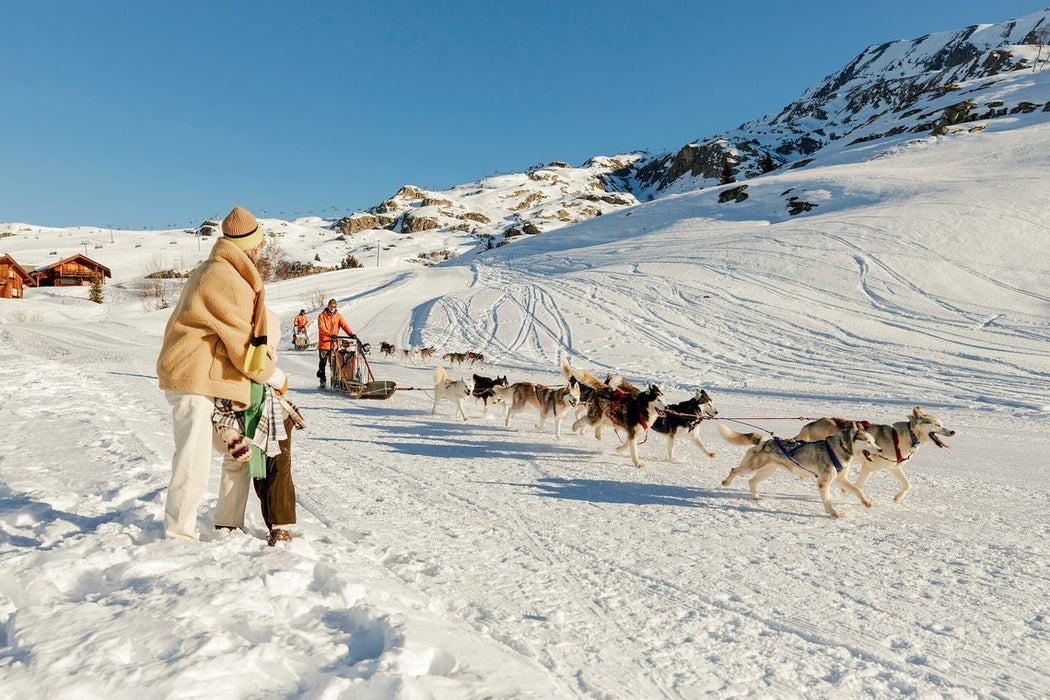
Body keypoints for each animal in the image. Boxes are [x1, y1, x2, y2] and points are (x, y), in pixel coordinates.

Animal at [718, 421, 881, 520]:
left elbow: (857, 490)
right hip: (752, 467)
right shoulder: (824, 483)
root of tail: (764, 441)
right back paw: (726, 482)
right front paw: (834, 513)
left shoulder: (840, 479)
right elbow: (828, 502)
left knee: (751, 481)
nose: (880, 449)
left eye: (873, 441)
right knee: (734, 470)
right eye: (867, 441)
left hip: (767, 471)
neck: (837, 449)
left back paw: (756, 496)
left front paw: (866, 502)